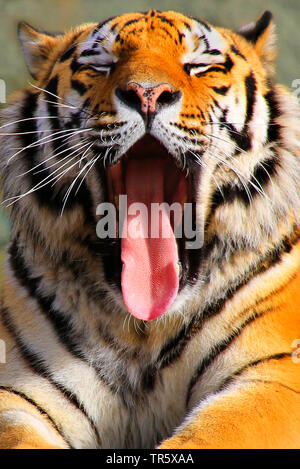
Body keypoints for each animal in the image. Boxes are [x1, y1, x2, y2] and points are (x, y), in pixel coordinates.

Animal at [0, 6, 300, 446]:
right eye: (101, 64)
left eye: (200, 66)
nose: (147, 94)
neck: (143, 328)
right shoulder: (19, 389)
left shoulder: (275, 374)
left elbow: (212, 434)